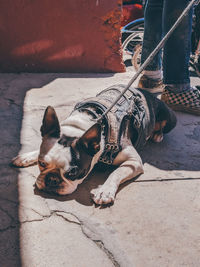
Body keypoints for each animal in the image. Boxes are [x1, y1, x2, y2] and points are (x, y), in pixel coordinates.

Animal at [11, 86, 177, 205]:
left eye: (73, 172)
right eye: (41, 163)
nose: (52, 179)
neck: (80, 126)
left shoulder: (134, 161)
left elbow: (116, 172)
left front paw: (105, 191)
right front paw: (25, 156)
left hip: (170, 119)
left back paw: (157, 134)